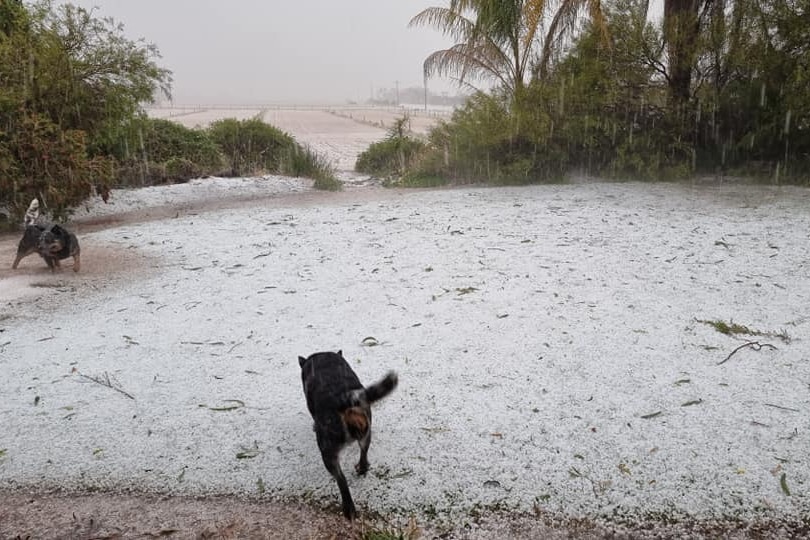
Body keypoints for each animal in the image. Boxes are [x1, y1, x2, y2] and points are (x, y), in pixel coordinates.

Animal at [296, 350, 398, 520]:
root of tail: (341, 400)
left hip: (328, 451)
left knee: (341, 480)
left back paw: (348, 508)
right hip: (366, 433)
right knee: (363, 453)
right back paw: (362, 469)